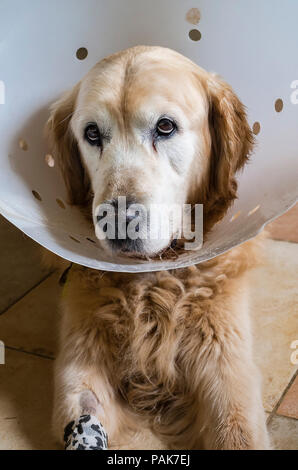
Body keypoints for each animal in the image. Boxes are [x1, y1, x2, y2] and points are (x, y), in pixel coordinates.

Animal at [46, 46, 270, 450]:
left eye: (165, 127)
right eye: (91, 133)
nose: (117, 219)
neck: (151, 283)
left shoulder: (226, 361)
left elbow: (237, 432)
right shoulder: (79, 358)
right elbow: (84, 420)